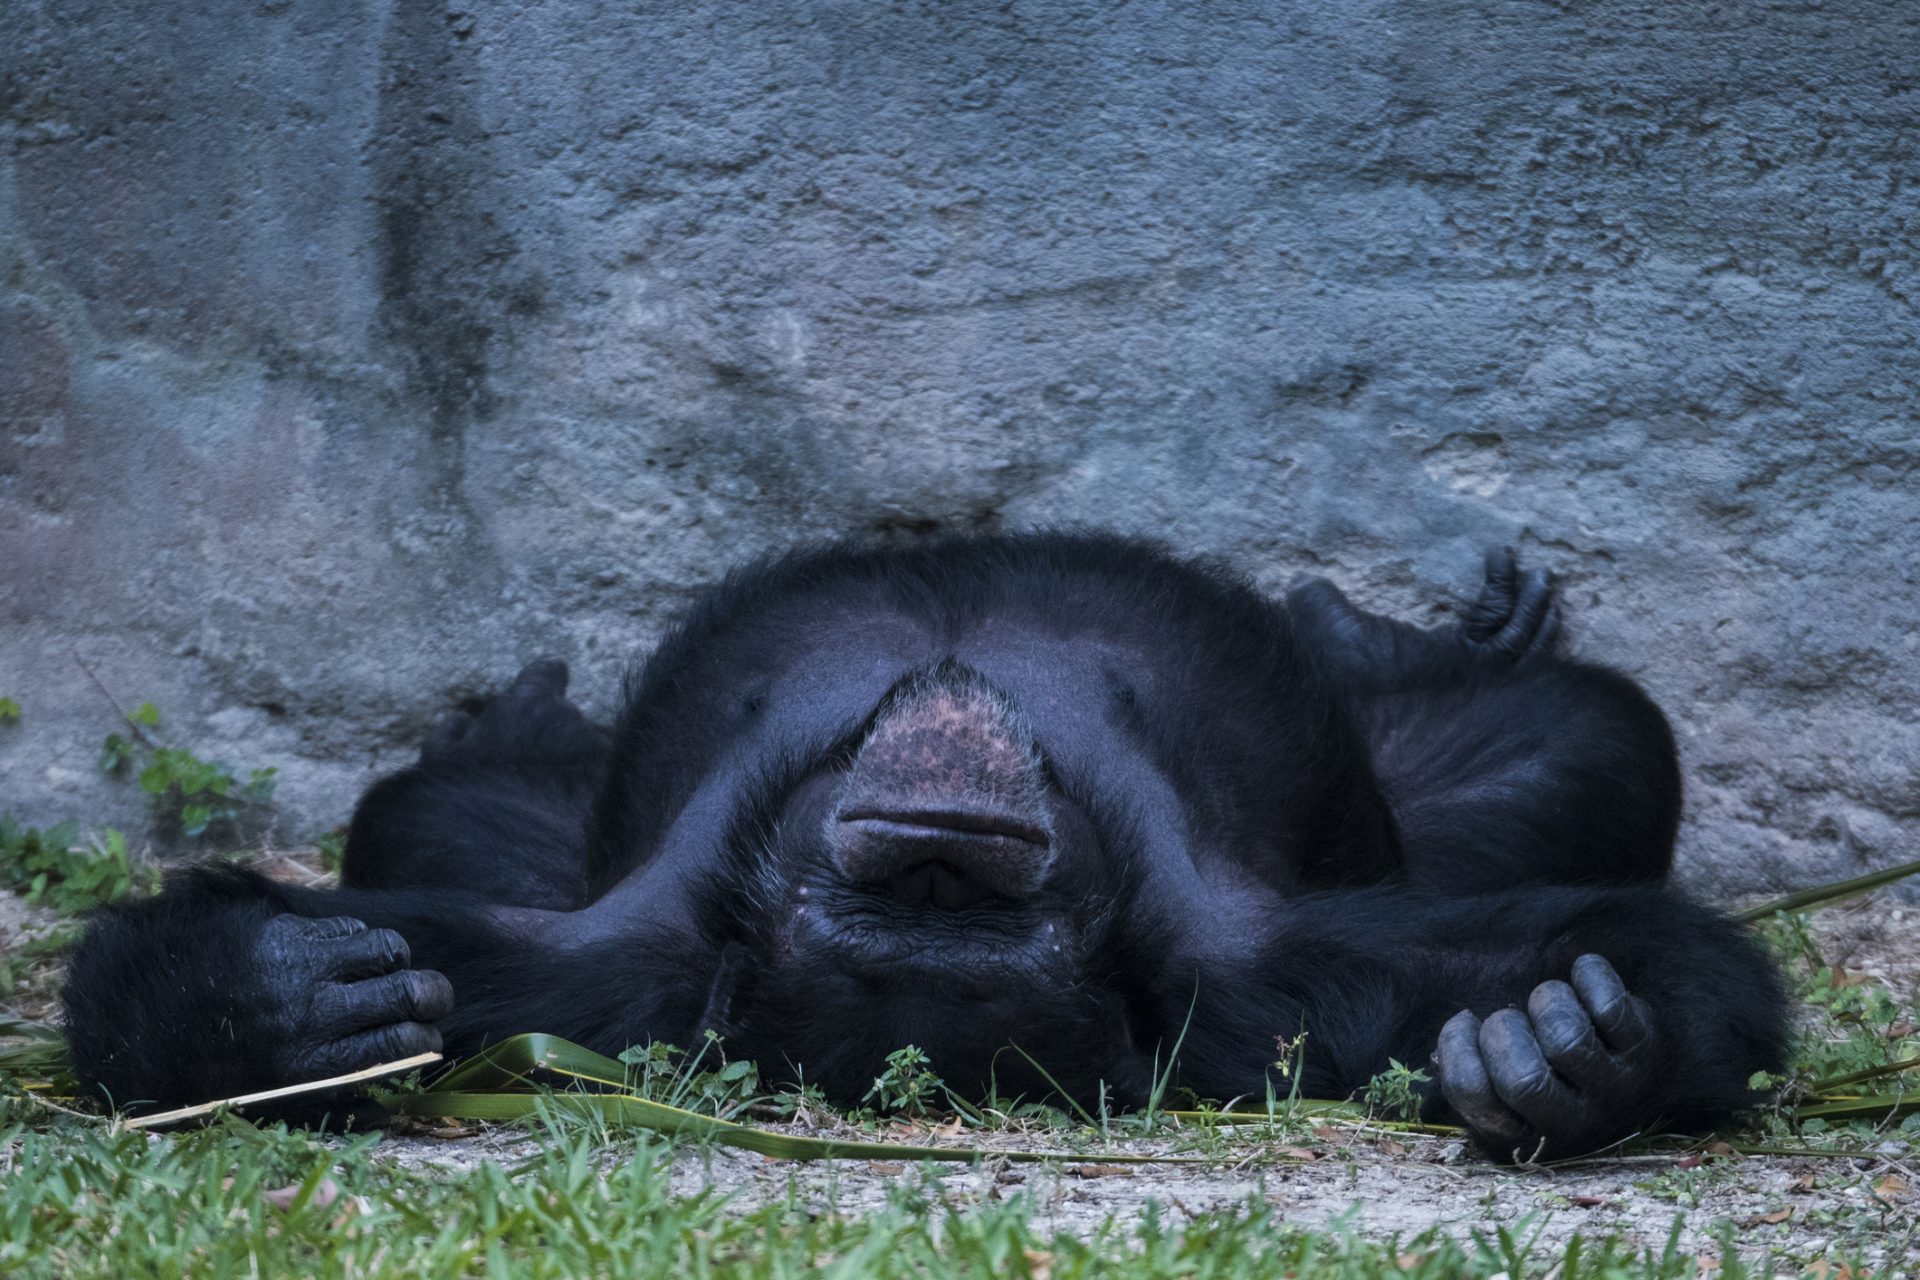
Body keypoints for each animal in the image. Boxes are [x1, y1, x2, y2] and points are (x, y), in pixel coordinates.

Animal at [67, 537, 1789, 1159]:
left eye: (964, 894)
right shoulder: (595, 978)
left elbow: (1545, 952)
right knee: (427, 810)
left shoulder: (1269, 984)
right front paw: (271, 1005)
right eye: (899, 891)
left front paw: (1566, 1045)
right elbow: (438, 973)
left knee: (1590, 735)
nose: (936, 849)